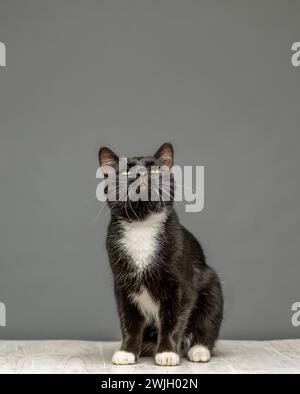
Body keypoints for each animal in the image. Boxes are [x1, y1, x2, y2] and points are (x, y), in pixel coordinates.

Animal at [98, 142, 223, 366]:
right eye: (126, 171)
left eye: (155, 170)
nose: (142, 174)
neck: (141, 226)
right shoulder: (122, 284)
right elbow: (128, 320)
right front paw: (127, 351)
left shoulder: (181, 284)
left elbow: (173, 319)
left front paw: (166, 352)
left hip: (212, 284)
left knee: (209, 320)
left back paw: (198, 350)